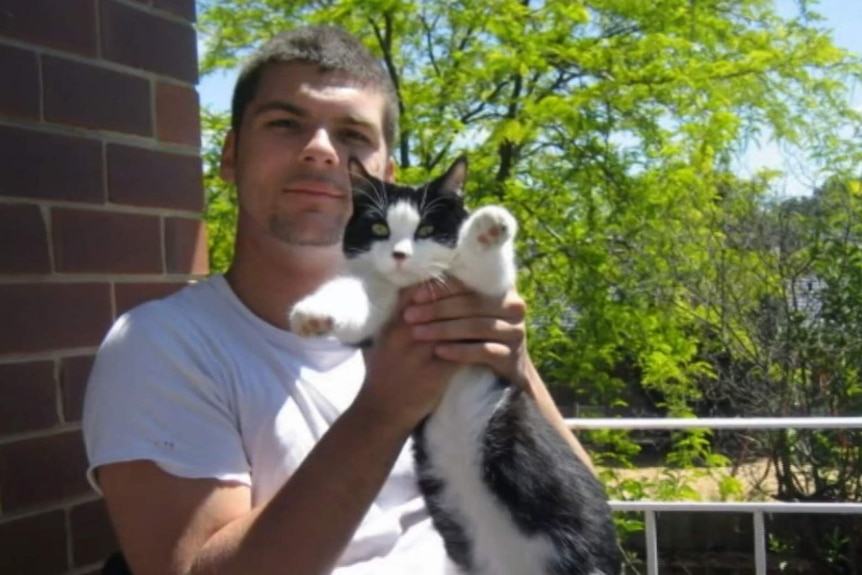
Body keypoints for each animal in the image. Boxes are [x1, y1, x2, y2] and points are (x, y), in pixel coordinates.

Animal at [288, 156, 620, 575]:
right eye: (379, 228)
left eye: (427, 229)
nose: (399, 255)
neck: (410, 288)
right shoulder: (378, 315)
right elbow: (358, 299)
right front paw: (313, 314)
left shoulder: (484, 298)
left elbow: (482, 272)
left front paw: (488, 224)